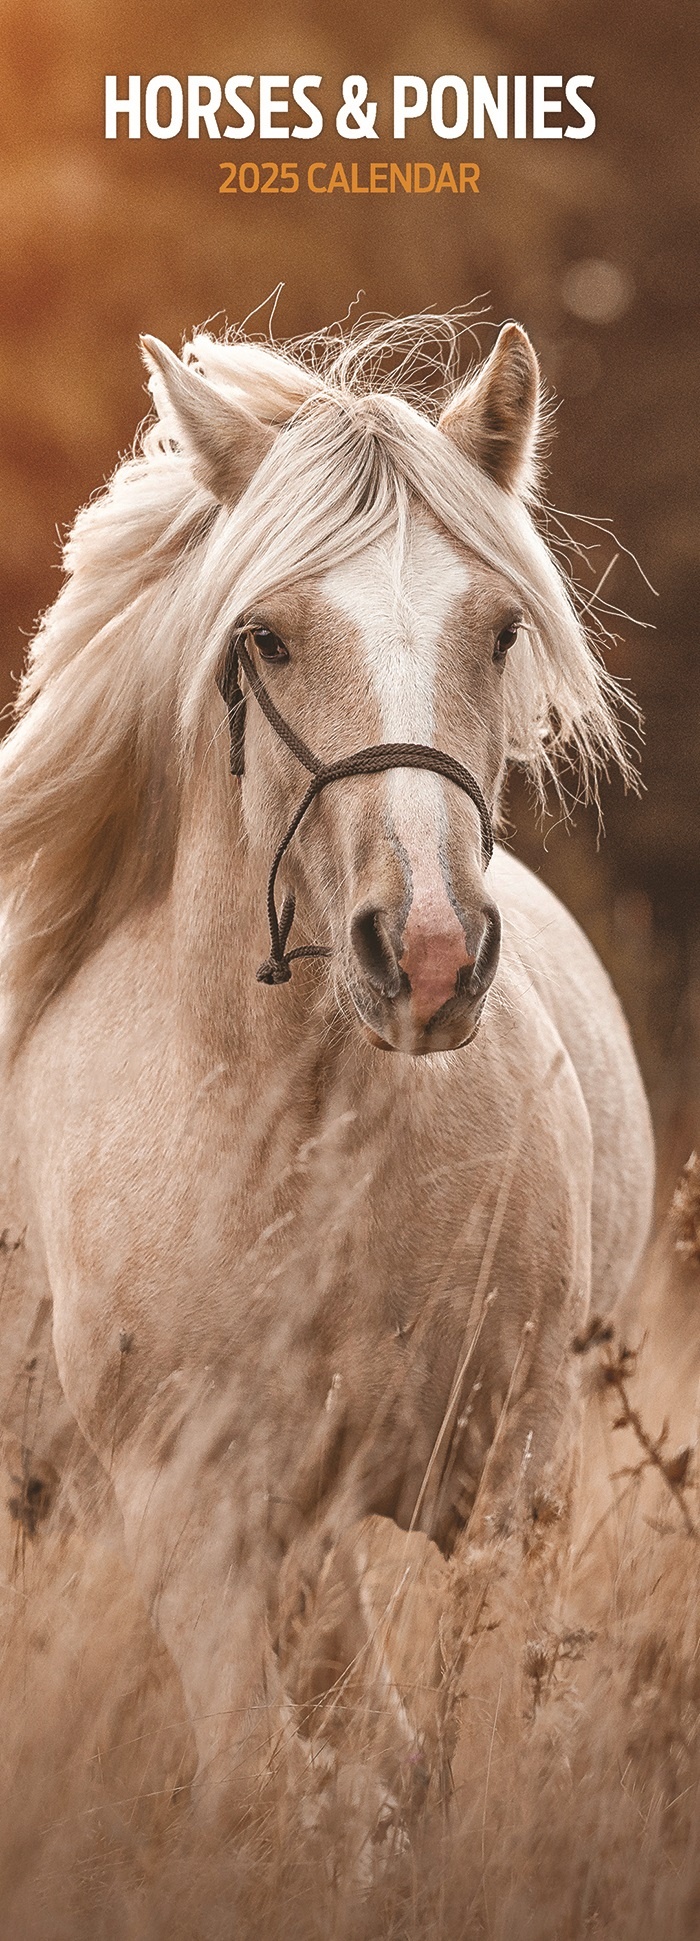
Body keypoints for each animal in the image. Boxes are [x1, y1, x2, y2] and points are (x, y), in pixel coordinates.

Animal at [0, 313, 654, 1827]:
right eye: (268, 638)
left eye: (502, 628)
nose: (425, 953)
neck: (302, 1134)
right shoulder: (196, 1514)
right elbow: (270, 1783)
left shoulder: (513, 1485)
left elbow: (475, 1767)